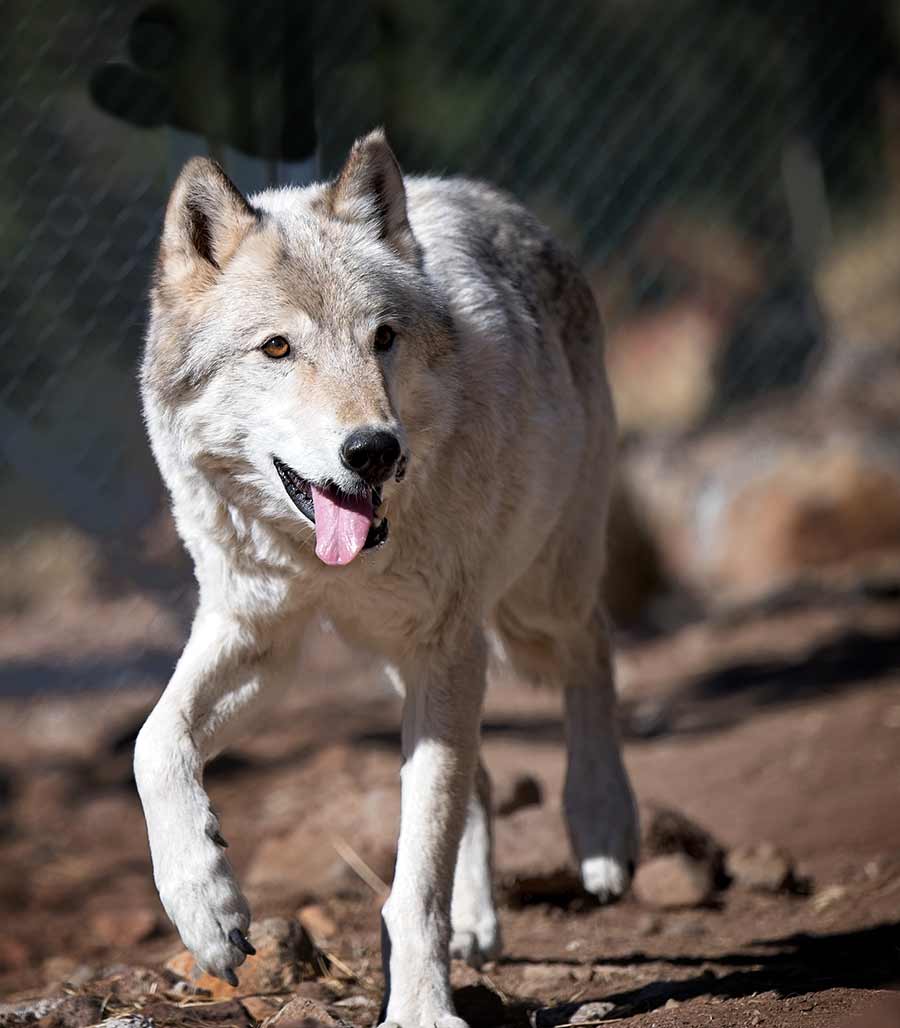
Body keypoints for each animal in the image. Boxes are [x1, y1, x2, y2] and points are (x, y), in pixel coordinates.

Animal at [134, 128, 638, 1028]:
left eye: (383, 339)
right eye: (277, 347)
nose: (374, 450)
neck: (327, 560)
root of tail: (494, 199)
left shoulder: (444, 645)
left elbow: (414, 884)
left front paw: (422, 1011)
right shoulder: (260, 636)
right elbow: (153, 742)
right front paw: (207, 909)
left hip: (531, 607)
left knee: (593, 651)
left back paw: (604, 828)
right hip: (416, 659)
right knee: (479, 775)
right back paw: (478, 921)